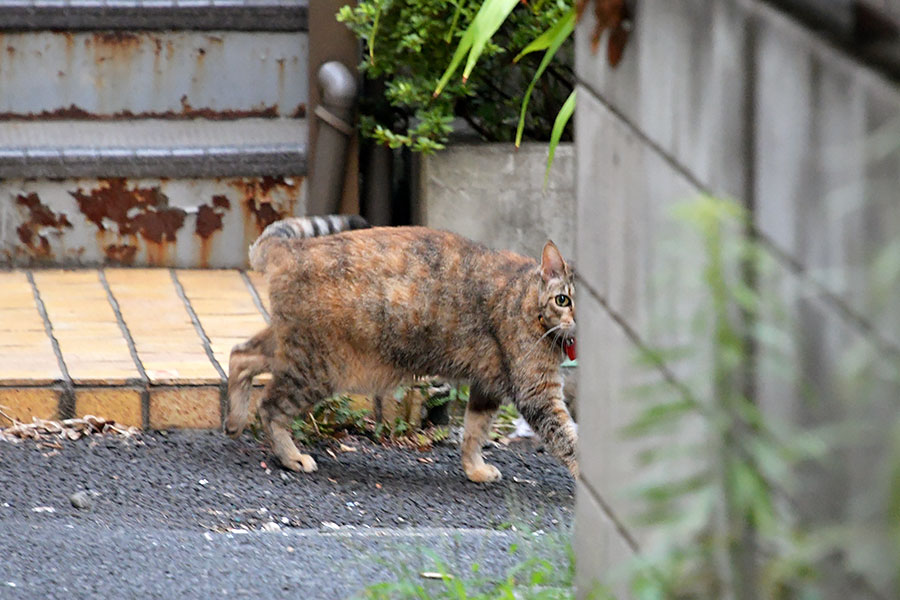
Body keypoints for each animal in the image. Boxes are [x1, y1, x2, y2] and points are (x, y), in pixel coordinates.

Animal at [225, 216, 576, 482]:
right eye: (564, 299)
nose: (578, 320)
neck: (529, 301)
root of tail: (292, 249)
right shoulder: (537, 394)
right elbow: (569, 441)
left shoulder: (487, 386)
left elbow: (474, 433)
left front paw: (474, 469)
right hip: (316, 368)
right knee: (270, 407)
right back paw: (290, 456)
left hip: (292, 349)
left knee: (240, 354)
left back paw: (234, 420)